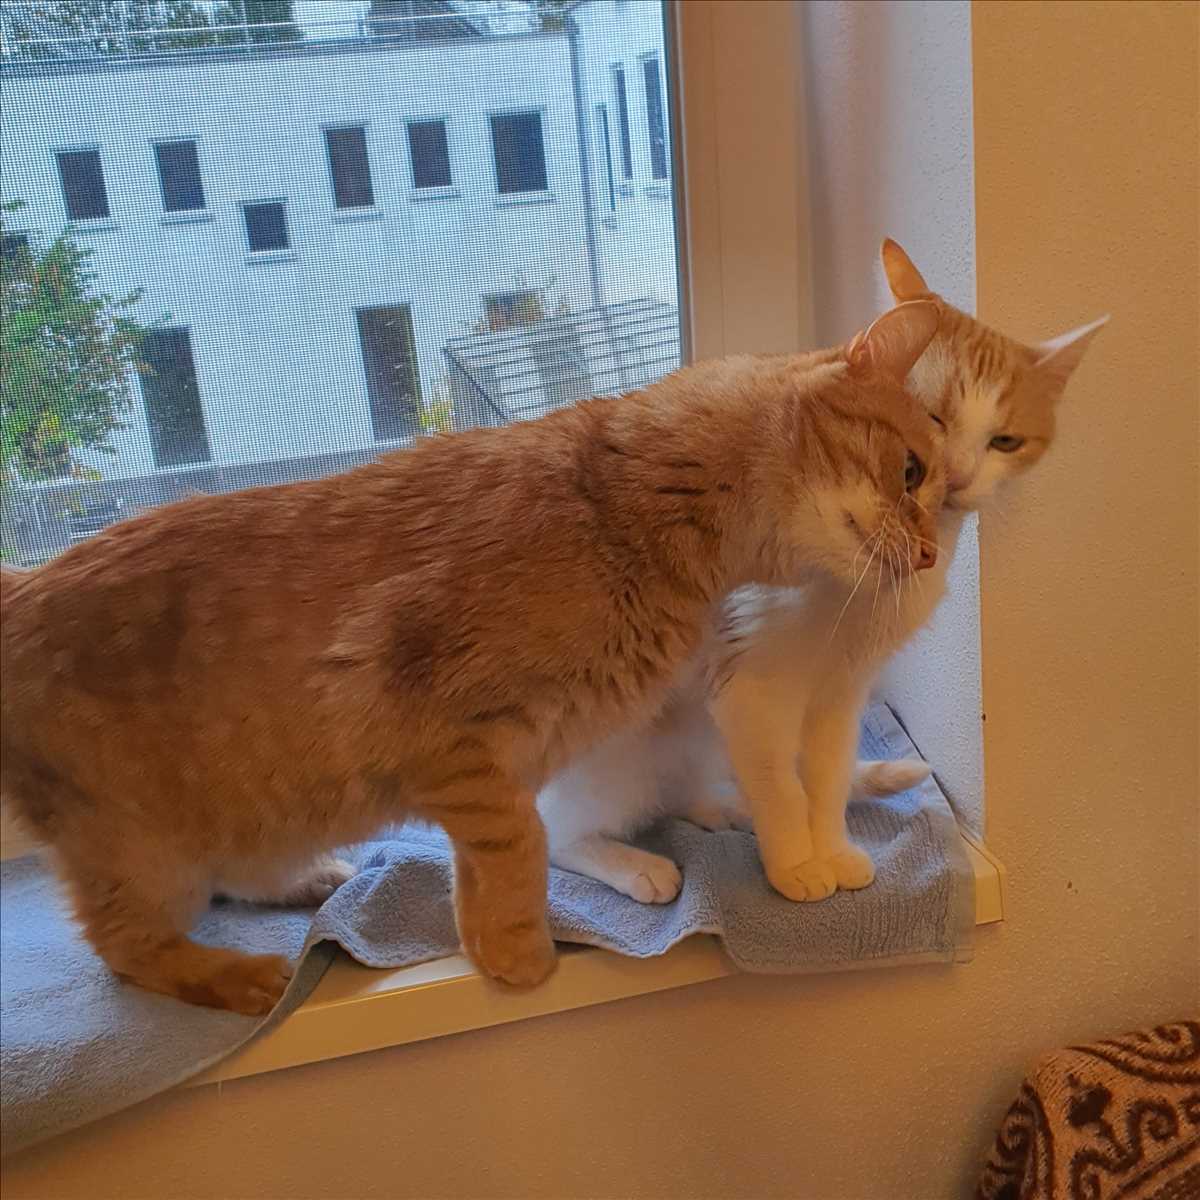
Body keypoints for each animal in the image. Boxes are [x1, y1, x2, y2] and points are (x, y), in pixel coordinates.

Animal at [0, 300, 943, 1013]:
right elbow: (523, 840)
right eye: (912, 471)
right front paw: (519, 957)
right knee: (128, 947)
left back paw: (314, 880)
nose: (935, 553)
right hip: (143, 856)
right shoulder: (456, 745)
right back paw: (243, 975)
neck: (627, 505)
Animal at [539, 238, 1106, 905]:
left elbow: (827, 780)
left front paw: (830, 850)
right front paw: (797, 864)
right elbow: (784, 789)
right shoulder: (752, 691)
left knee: (680, 789)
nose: (961, 477)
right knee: (557, 838)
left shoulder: (842, 691)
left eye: (1005, 442)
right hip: (620, 753)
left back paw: (723, 808)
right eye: (931, 421)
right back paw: (637, 863)